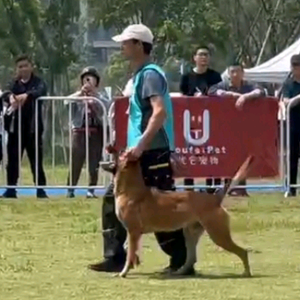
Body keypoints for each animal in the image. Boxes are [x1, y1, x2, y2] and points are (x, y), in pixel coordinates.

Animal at [101, 148, 253, 278]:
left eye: (121, 152)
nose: (109, 147)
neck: (131, 190)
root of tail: (214, 198)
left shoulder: (133, 232)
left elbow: (129, 255)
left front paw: (123, 272)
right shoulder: (133, 233)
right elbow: (129, 250)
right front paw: (132, 264)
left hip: (218, 235)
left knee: (243, 252)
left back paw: (246, 272)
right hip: (190, 234)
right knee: (191, 258)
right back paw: (179, 272)